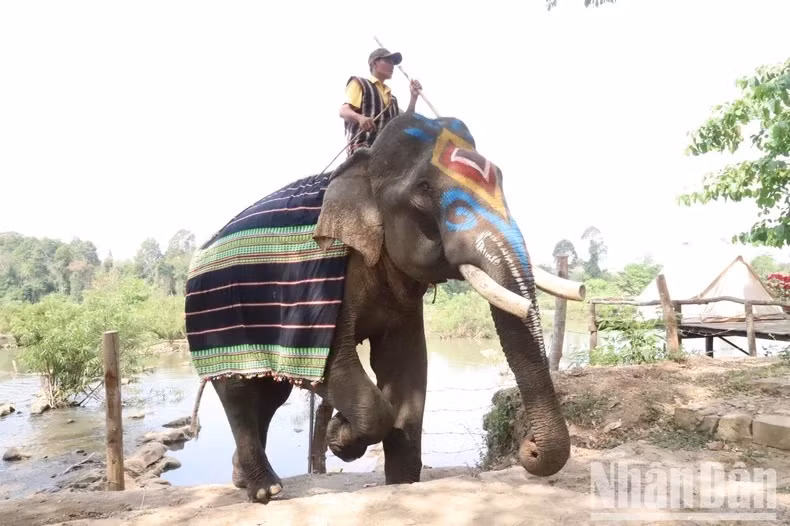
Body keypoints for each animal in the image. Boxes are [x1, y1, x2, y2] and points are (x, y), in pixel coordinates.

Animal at [183, 111, 586, 504]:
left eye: (501, 178)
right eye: (424, 190)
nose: (529, 446)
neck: (365, 165)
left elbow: (407, 365)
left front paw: (401, 482)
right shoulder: (319, 285)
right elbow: (337, 365)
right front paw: (341, 435)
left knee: (269, 395)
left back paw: (241, 479)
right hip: (216, 316)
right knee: (239, 392)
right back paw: (266, 491)